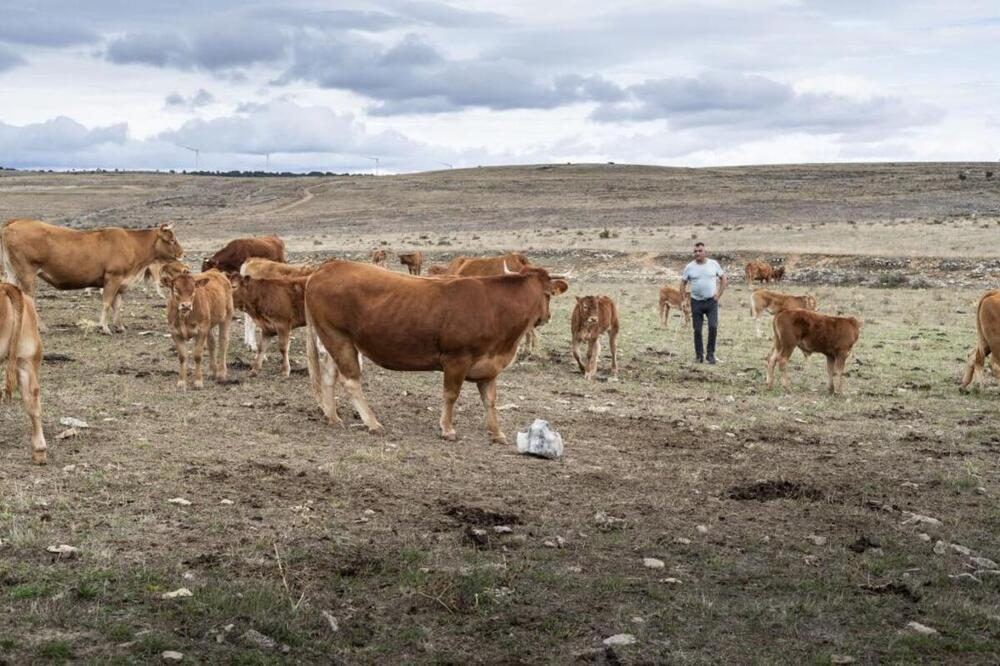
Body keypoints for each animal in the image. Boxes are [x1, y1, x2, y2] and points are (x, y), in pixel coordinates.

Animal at [1, 219, 184, 334]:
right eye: (171, 240)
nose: (182, 253)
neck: (133, 245)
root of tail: (15, 222)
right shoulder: (112, 278)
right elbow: (107, 303)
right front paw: (104, 327)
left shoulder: (121, 283)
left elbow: (117, 305)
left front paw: (119, 326)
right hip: (27, 273)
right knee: (29, 299)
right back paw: (42, 327)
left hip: (13, 273)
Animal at [304, 260, 568, 443]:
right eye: (548, 295)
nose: (547, 317)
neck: (495, 308)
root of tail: (328, 266)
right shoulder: (457, 359)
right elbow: (451, 395)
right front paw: (448, 429)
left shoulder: (489, 366)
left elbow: (490, 400)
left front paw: (497, 433)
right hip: (338, 337)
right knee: (350, 381)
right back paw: (373, 423)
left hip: (335, 340)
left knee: (329, 376)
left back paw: (333, 417)